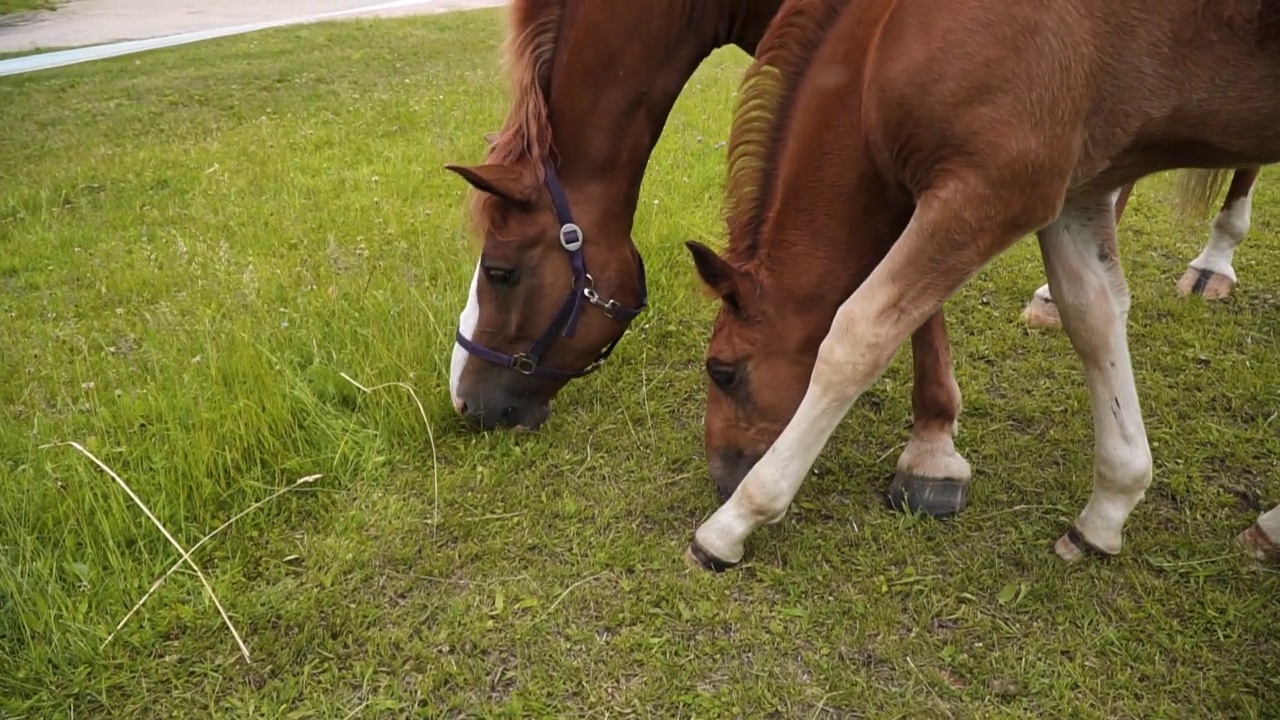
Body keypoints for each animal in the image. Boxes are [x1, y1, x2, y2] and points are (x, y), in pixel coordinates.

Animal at [686, 0, 1280, 571]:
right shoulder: (1074, 193)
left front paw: (732, 525)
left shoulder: (994, 190)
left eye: (722, 370)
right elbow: (1092, 317)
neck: (895, 33)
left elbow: (858, 338)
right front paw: (1107, 510)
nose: (723, 479)